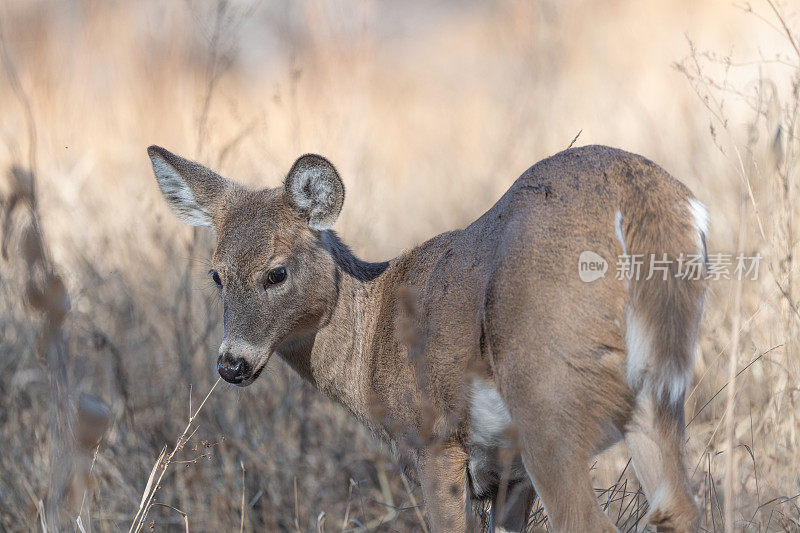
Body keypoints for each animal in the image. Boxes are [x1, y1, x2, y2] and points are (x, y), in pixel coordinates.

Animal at [148, 143, 708, 528]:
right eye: (216, 275)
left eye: (276, 273)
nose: (231, 364)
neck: (371, 340)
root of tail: (648, 204)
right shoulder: (505, 474)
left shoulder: (432, 440)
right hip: (659, 393)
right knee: (679, 509)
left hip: (548, 395)